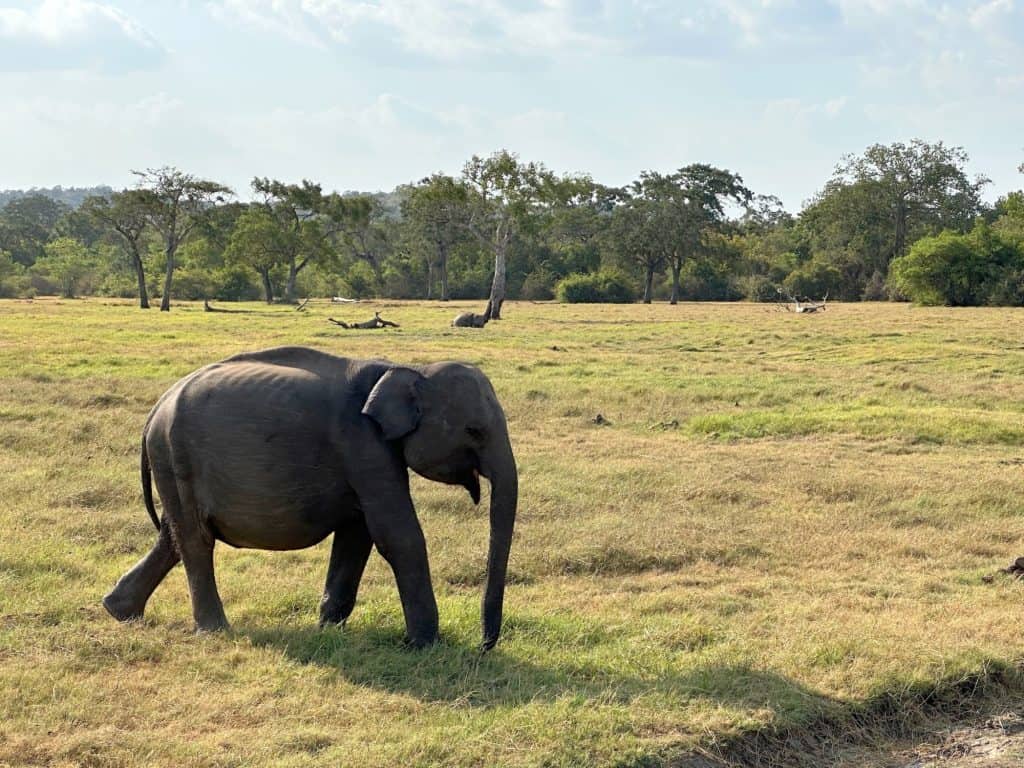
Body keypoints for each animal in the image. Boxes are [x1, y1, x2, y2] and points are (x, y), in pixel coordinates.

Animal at [101, 346, 520, 651]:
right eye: (474, 431)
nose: (484, 646)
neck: (410, 368)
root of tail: (156, 409)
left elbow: (357, 534)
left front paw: (328, 629)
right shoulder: (363, 442)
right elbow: (396, 535)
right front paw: (425, 645)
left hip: (172, 464)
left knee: (173, 536)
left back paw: (120, 611)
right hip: (175, 456)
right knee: (196, 540)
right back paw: (215, 631)